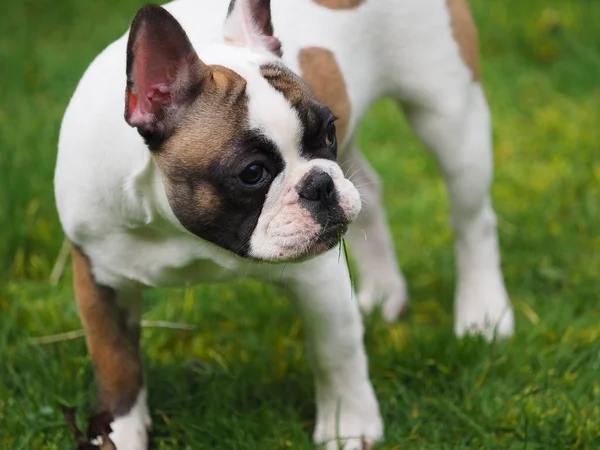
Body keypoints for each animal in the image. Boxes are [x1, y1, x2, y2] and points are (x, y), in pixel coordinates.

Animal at [56, 0, 512, 446]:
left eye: (327, 132)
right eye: (252, 173)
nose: (320, 184)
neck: (186, 233)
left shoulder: (319, 272)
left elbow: (335, 348)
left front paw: (349, 425)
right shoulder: (98, 277)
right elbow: (116, 362)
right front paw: (118, 435)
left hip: (449, 115)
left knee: (472, 220)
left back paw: (483, 312)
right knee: (371, 194)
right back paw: (385, 292)